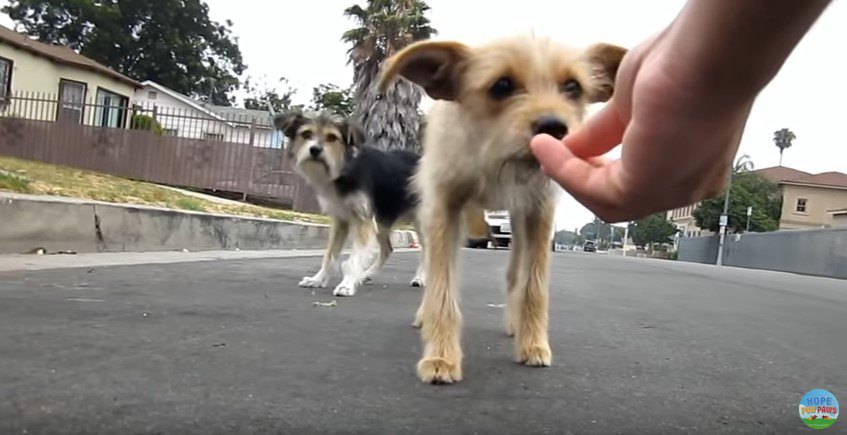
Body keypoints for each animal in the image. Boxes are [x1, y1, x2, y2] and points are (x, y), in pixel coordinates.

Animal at [274, 110, 428, 298]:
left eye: (332, 137)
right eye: (306, 134)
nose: (315, 150)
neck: (346, 168)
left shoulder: (364, 220)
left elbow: (354, 258)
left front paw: (347, 284)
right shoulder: (341, 221)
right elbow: (330, 256)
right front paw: (317, 280)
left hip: (422, 220)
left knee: (428, 251)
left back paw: (420, 278)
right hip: (382, 220)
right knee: (387, 249)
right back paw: (365, 275)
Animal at [380, 35, 628, 386]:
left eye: (572, 86)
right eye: (502, 85)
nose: (554, 128)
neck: (492, 157)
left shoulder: (538, 211)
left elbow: (533, 286)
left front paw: (534, 343)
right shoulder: (445, 207)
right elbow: (442, 287)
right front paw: (441, 356)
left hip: (520, 222)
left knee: (515, 273)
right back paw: (423, 316)